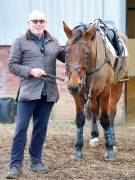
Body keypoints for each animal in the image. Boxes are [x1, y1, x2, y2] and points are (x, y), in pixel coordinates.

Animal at [63, 20, 127, 160]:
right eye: (66, 52)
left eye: (86, 53)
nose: (73, 85)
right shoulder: (78, 94)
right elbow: (80, 119)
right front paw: (77, 149)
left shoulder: (105, 91)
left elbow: (105, 119)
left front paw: (109, 150)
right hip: (92, 93)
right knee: (94, 109)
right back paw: (94, 136)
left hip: (117, 86)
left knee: (112, 111)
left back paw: (113, 141)